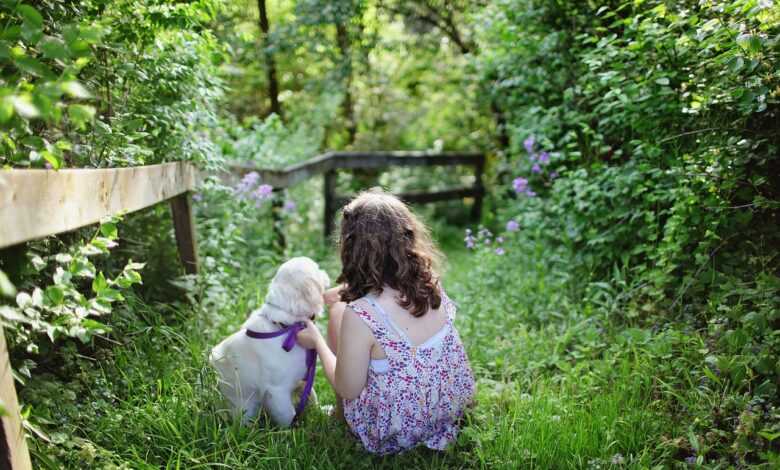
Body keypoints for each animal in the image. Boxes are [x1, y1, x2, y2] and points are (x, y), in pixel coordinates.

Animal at [209, 258, 328, 426]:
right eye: (317, 269)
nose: (325, 273)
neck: (286, 327)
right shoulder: (277, 391)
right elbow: (288, 415)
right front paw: (293, 430)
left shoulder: (303, 379)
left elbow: (312, 396)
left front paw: (322, 412)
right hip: (245, 407)